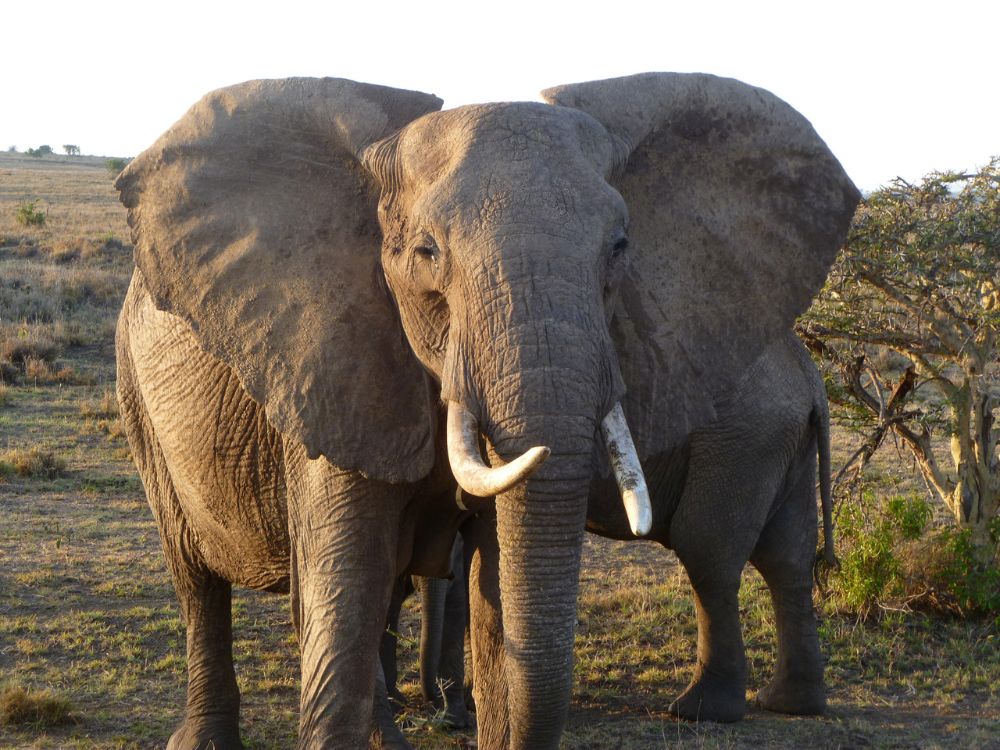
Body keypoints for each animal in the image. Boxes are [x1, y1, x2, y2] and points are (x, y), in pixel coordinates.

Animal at [113, 72, 856, 750]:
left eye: (620, 247)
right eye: (427, 252)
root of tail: (812, 380)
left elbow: (492, 586)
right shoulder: (331, 355)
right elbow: (351, 585)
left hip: (754, 437)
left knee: (738, 553)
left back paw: (728, 710)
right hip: (136, 400)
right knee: (194, 578)